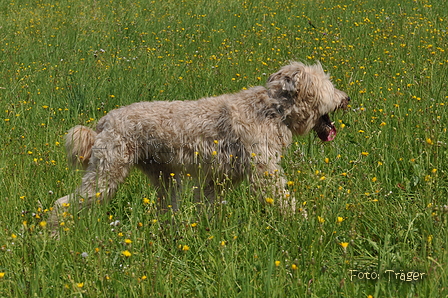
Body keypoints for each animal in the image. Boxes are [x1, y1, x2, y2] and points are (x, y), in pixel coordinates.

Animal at [49, 61, 350, 230]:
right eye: (329, 86)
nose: (346, 98)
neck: (274, 110)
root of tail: (104, 121)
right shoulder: (265, 174)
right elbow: (286, 202)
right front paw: (309, 224)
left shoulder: (216, 180)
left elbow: (207, 208)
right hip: (106, 174)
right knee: (62, 204)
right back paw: (51, 235)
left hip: (165, 180)